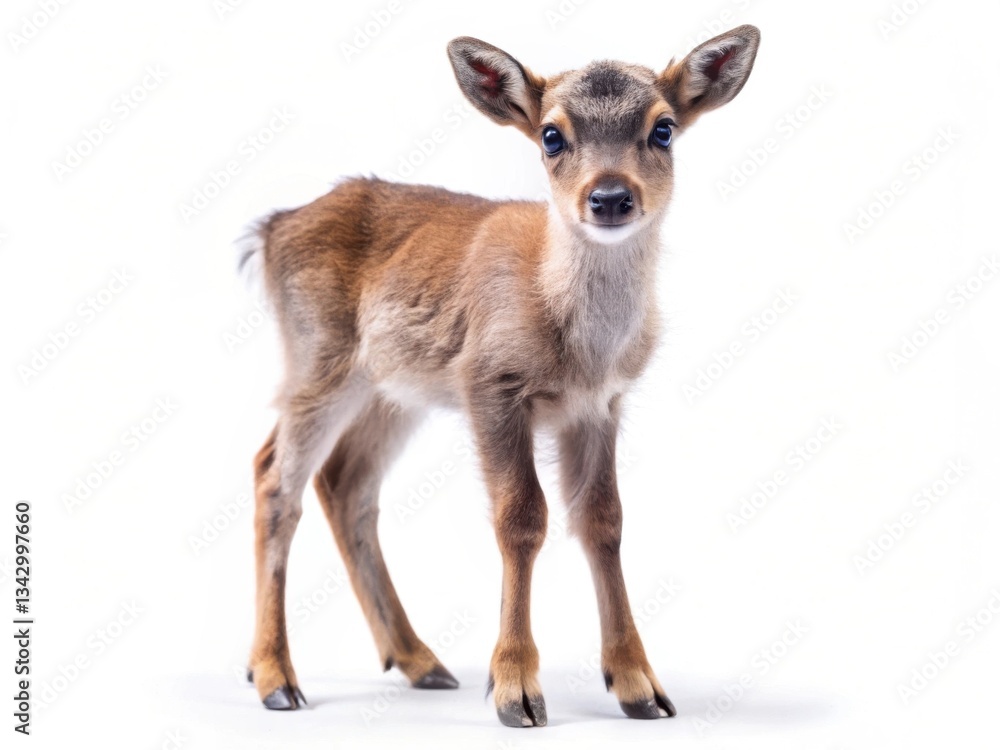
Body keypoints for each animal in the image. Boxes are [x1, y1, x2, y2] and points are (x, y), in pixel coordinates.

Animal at [241, 25, 760, 727]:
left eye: (663, 129)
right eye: (551, 135)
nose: (610, 197)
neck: (576, 343)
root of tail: (269, 231)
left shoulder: (599, 405)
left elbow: (604, 519)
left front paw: (639, 687)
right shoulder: (490, 381)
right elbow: (521, 517)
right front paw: (516, 690)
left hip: (393, 391)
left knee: (344, 483)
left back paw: (419, 661)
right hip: (317, 358)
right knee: (275, 478)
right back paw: (275, 676)